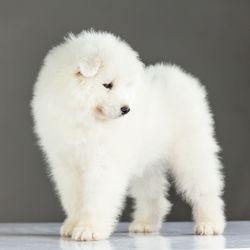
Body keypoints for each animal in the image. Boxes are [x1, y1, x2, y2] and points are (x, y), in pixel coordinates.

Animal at [30, 30, 225, 241]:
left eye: (126, 85)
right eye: (107, 85)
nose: (126, 109)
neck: (84, 117)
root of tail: (179, 77)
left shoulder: (103, 162)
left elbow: (97, 197)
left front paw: (89, 229)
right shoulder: (66, 164)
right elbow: (73, 198)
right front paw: (72, 225)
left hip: (190, 152)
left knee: (205, 189)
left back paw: (210, 224)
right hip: (148, 162)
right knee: (154, 195)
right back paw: (145, 224)